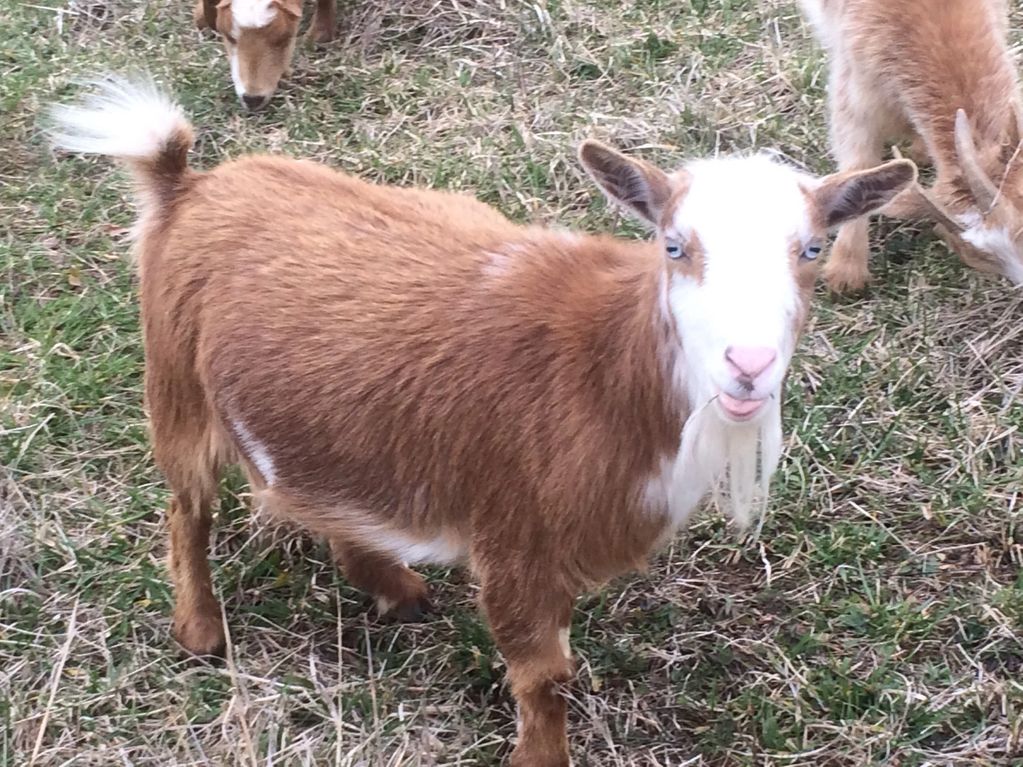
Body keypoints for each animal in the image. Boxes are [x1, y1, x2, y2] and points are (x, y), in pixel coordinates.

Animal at [46, 76, 912, 764]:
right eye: (673, 245)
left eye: (811, 249)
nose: (748, 364)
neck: (604, 365)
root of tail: (185, 185)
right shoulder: (514, 534)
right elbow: (544, 673)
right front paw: (540, 758)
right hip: (176, 385)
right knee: (186, 507)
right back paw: (200, 630)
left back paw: (393, 587)